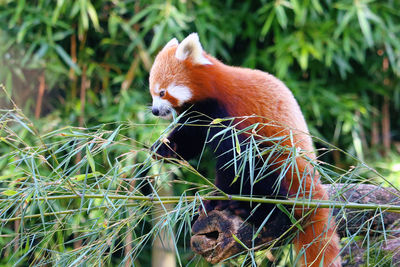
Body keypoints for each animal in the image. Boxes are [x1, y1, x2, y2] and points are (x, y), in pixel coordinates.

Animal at [148, 34, 342, 267]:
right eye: (153, 93)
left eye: (162, 92)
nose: (154, 111)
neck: (213, 91)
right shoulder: (200, 115)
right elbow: (190, 138)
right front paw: (164, 148)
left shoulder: (231, 119)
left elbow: (233, 164)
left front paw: (218, 199)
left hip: (279, 161)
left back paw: (254, 209)